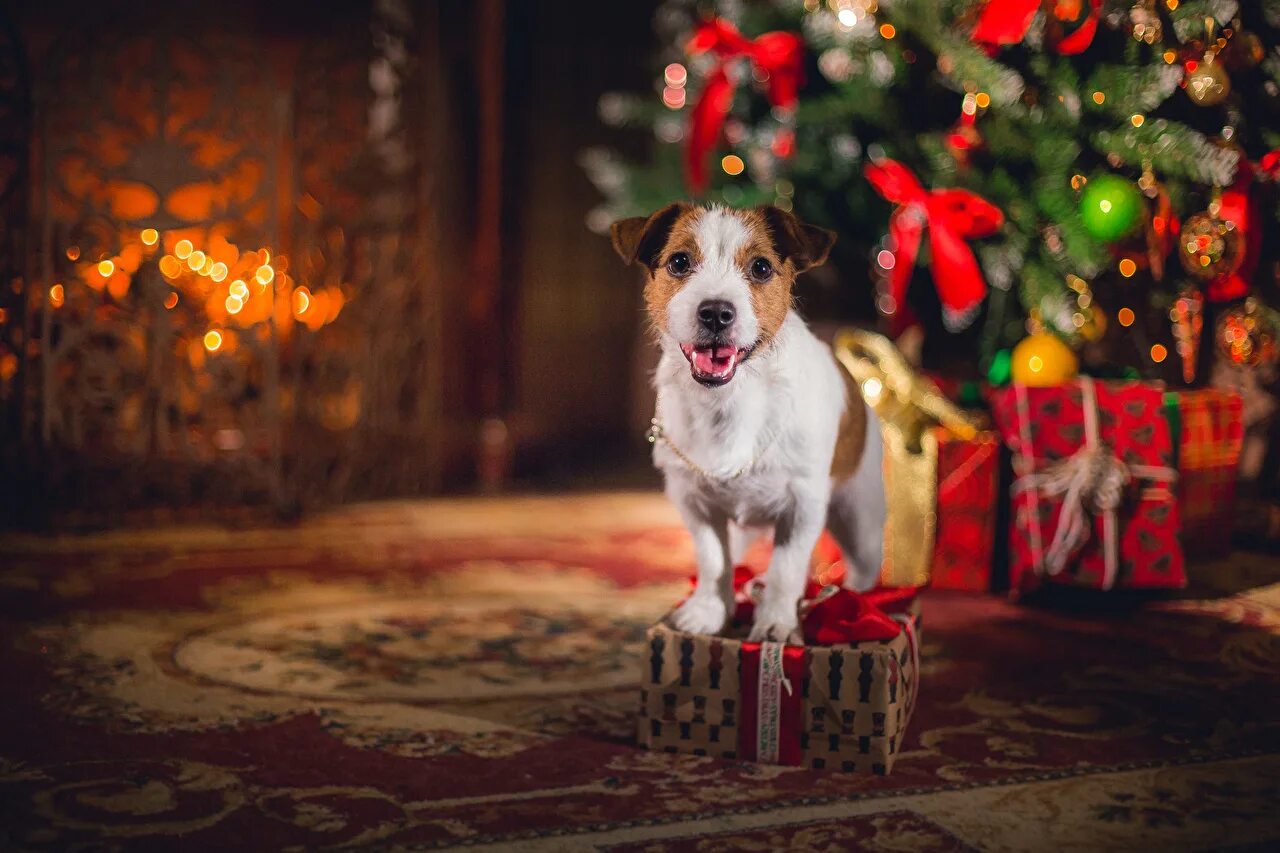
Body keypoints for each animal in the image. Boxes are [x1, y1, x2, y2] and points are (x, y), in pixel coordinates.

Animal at [606, 204, 880, 637]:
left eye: (761, 268)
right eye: (679, 262)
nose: (716, 313)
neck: (728, 402)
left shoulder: (803, 507)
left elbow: (785, 569)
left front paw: (776, 623)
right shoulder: (694, 503)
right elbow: (713, 560)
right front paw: (708, 611)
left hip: (861, 520)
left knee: (863, 568)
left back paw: (858, 605)